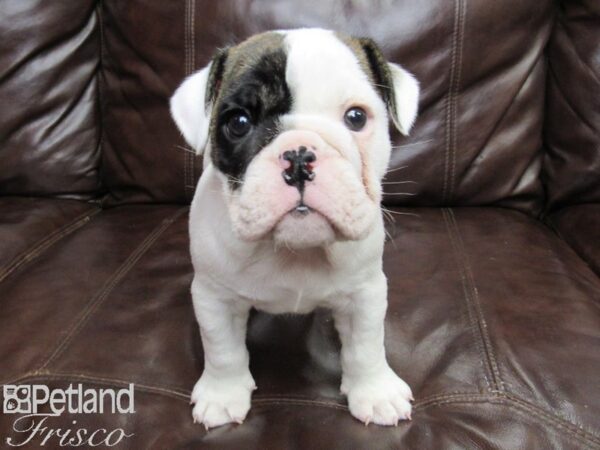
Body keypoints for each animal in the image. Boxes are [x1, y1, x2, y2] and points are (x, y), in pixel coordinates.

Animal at [171, 28, 420, 428]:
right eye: (238, 123)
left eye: (356, 117)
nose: (300, 156)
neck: (295, 251)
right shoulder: (214, 297)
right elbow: (222, 348)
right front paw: (223, 395)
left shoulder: (365, 292)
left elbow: (366, 345)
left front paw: (375, 392)